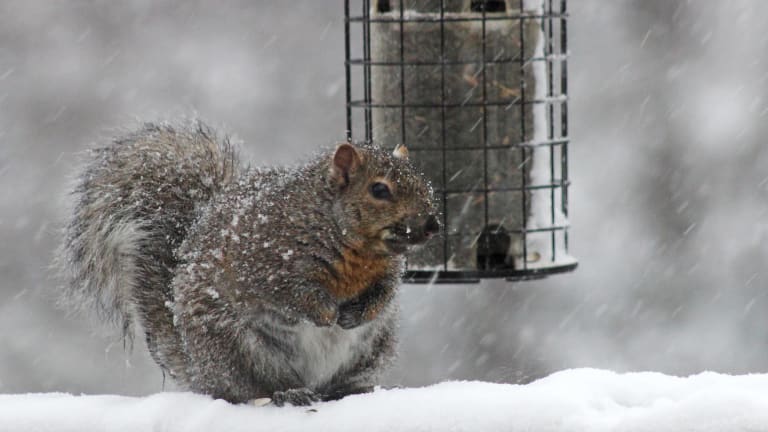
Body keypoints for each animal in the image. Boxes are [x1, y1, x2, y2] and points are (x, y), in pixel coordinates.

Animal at [59, 120, 438, 404]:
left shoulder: (386, 273)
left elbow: (382, 295)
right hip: (240, 350)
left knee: (339, 383)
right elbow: (293, 295)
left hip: (373, 348)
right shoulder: (266, 262)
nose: (432, 225)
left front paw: (356, 313)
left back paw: (353, 389)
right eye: (379, 190)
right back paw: (288, 393)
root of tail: (198, 369)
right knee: (253, 391)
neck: (360, 248)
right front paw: (328, 313)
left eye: (423, 182)